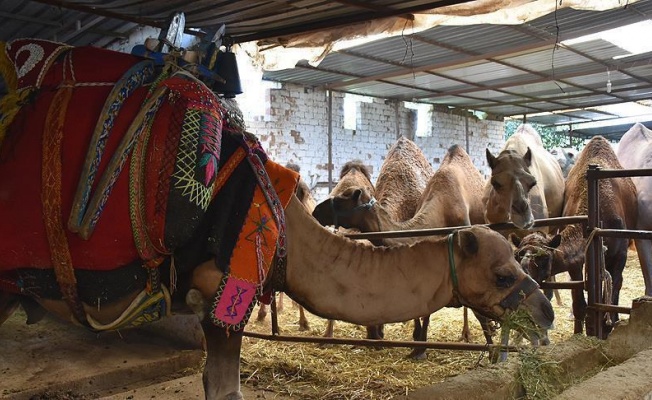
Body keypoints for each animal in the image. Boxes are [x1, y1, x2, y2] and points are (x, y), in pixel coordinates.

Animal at [512, 137, 636, 338]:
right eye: (517, 256)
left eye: (544, 257)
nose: (524, 283)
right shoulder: (577, 263)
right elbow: (579, 301)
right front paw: (579, 333)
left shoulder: (619, 254)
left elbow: (613, 290)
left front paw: (608, 327)